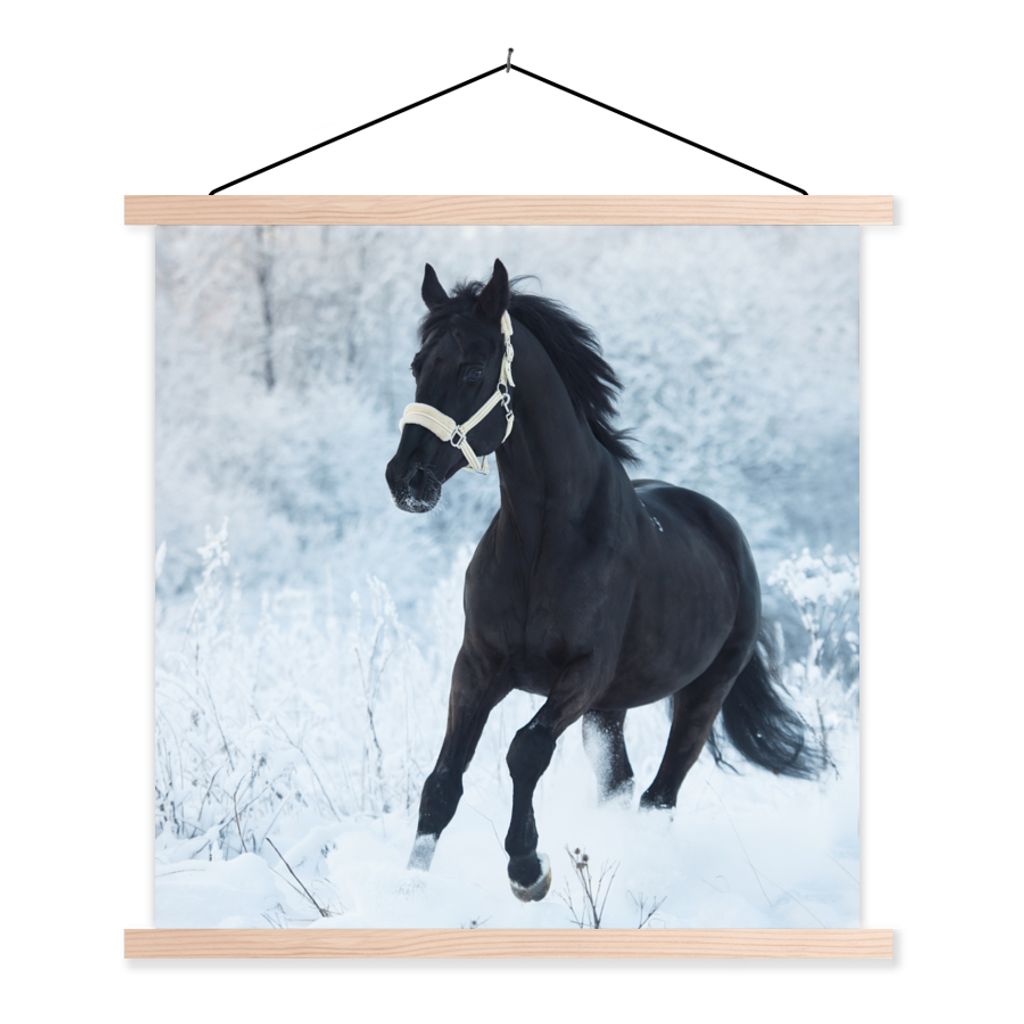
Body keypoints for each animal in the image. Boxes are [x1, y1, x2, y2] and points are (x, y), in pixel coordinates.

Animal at [385, 259, 818, 902]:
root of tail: (725, 529)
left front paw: (528, 869)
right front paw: (408, 888)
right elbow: (442, 781)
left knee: (658, 796)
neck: (544, 543)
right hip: (610, 711)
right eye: (418, 365)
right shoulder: (479, 666)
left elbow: (526, 750)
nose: (405, 478)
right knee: (623, 784)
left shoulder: (583, 673)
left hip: (701, 694)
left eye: (472, 369)